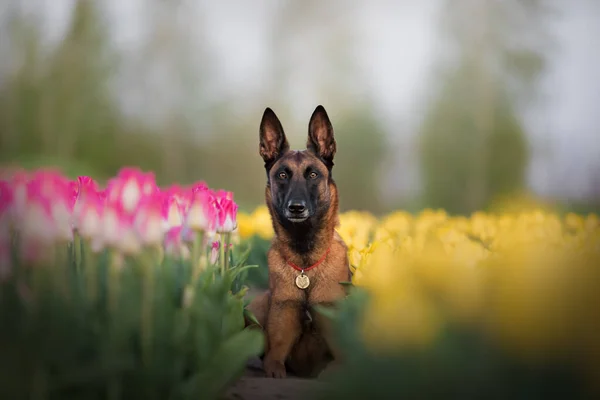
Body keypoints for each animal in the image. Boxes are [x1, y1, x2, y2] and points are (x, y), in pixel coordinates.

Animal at [244, 105, 352, 378]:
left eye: (313, 174)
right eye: (283, 174)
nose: (296, 208)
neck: (305, 265)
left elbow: (336, 366)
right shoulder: (283, 320)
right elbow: (273, 362)